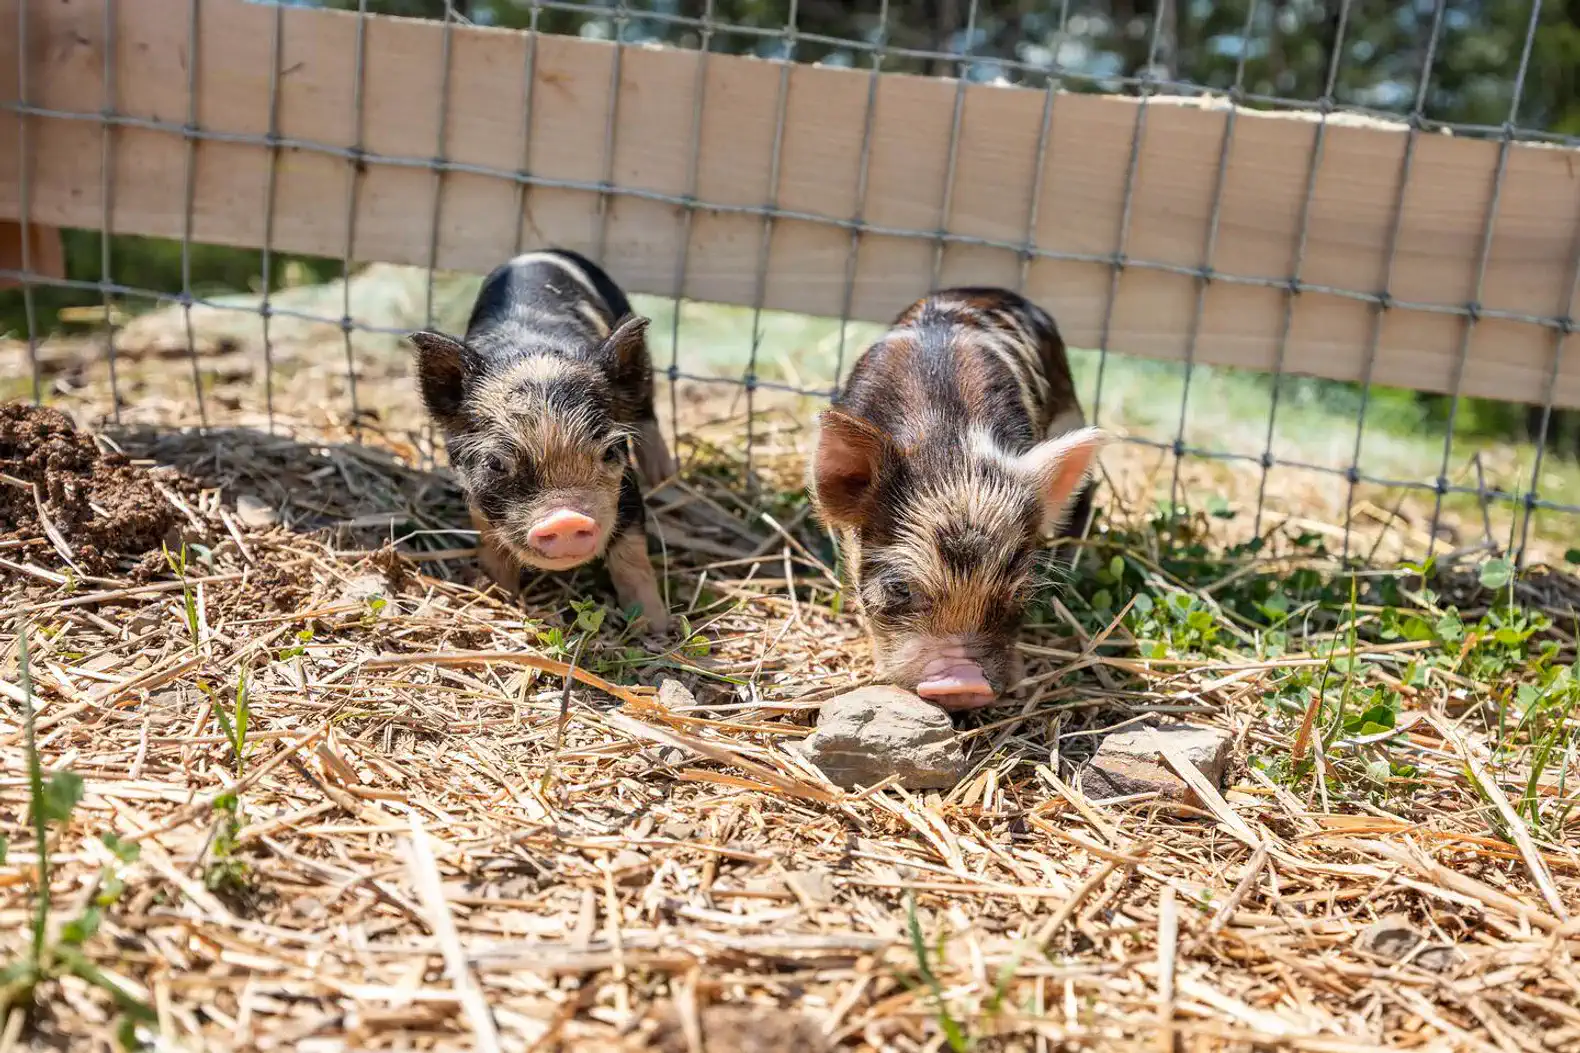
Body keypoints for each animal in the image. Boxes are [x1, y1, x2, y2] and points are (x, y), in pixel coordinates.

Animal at [408, 249, 675, 632]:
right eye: (495, 464)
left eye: (609, 452)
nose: (566, 519)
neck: (535, 353)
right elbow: (492, 546)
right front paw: (497, 596)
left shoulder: (627, 489)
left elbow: (632, 553)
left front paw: (655, 627)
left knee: (646, 408)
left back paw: (666, 477)